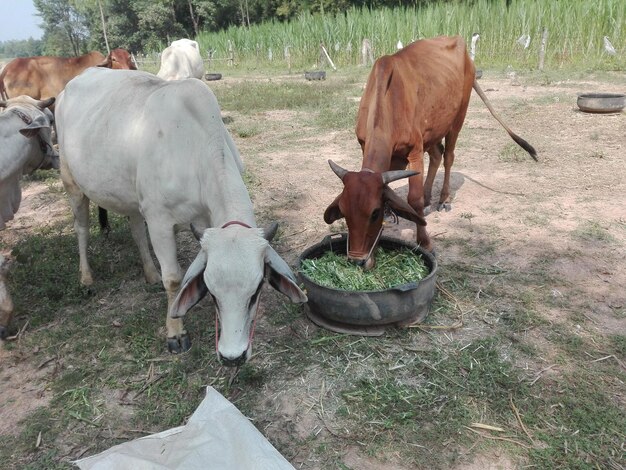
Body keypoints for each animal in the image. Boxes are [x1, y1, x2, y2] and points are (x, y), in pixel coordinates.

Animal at [56, 68, 304, 366]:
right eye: (213, 293)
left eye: (256, 291)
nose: (232, 357)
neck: (195, 148)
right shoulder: (159, 220)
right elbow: (174, 278)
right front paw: (175, 332)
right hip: (71, 181)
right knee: (81, 228)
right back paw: (86, 279)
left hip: (132, 197)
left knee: (136, 229)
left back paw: (150, 273)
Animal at [324, 35, 532, 268]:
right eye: (344, 212)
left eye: (374, 213)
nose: (358, 261)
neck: (388, 103)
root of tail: (460, 44)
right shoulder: (366, 145)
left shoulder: (415, 150)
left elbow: (412, 199)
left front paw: (425, 241)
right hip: (434, 129)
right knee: (437, 155)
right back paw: (427, 197)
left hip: (458, 117)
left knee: (448, 157)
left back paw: (444, 199)